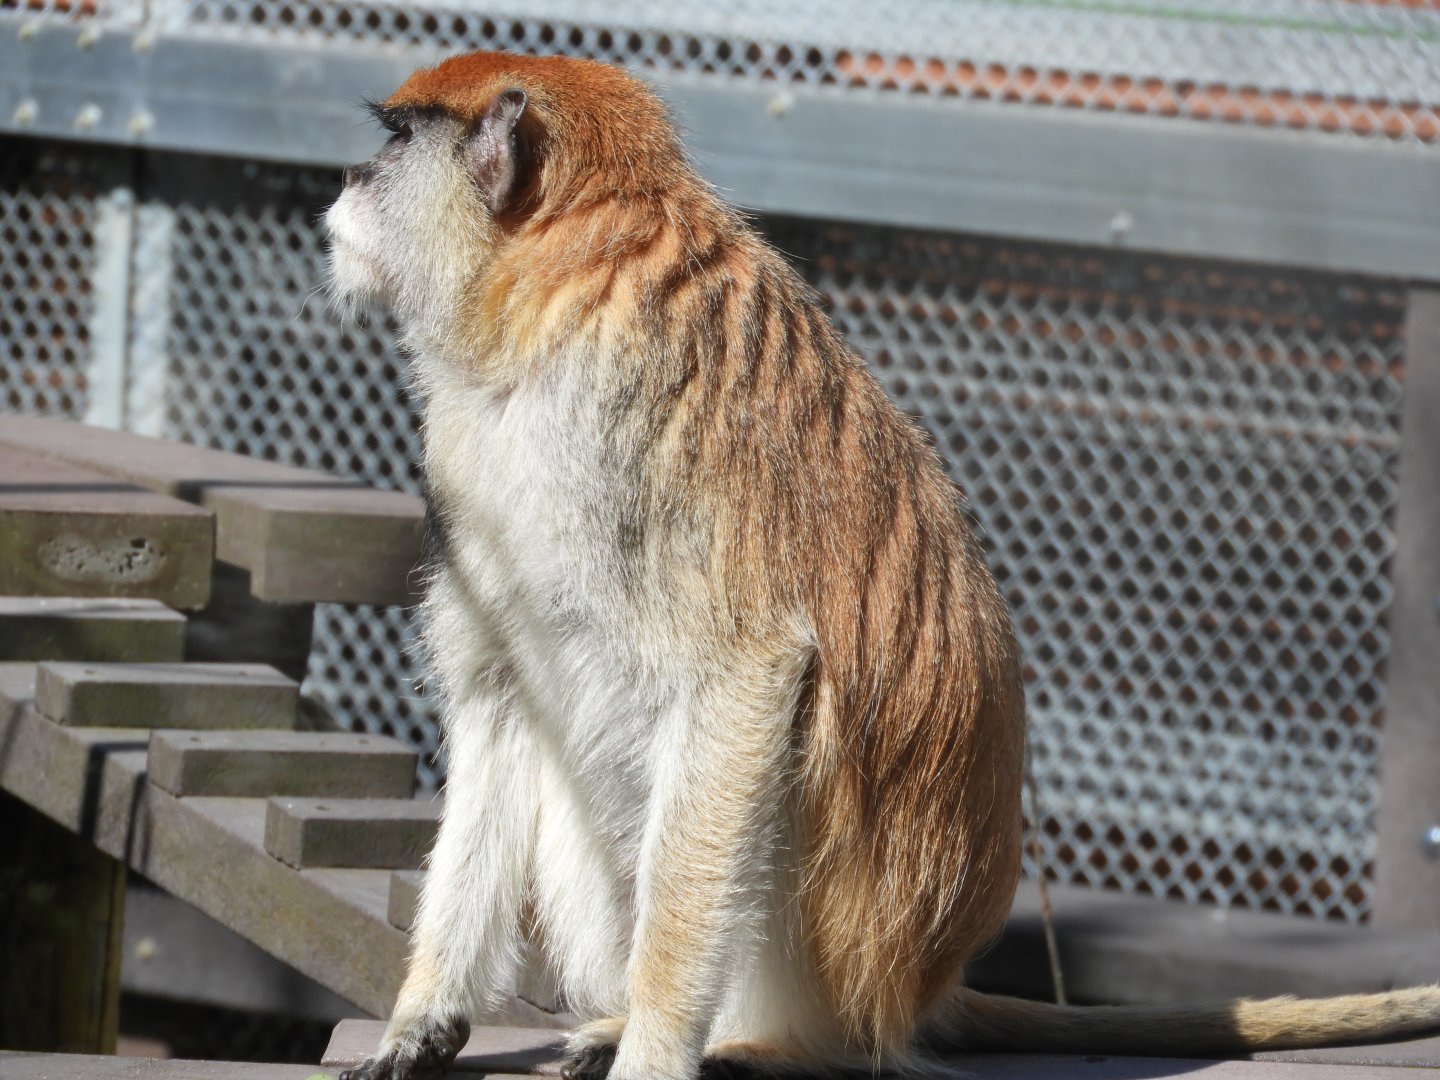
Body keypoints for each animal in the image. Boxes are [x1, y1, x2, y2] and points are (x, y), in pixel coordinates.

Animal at [325, 51, 1440, 1080]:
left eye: (393, 140)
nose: (346, 180)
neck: (550, 284)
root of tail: (917, 995)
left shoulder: (622, 422)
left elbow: (748, 679)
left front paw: (654, 1050)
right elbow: (501, 694)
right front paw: (425, 1014)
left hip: (839, 952)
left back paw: (764, 1047)